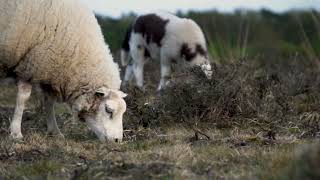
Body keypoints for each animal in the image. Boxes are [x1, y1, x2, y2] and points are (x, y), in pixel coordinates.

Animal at [0, 0, 127, 143]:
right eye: (108, 110)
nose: (117, 140)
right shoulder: (28, 64)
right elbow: (23, 98)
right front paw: (16, 133)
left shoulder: (47, 70)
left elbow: (49, 102)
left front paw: (55, 132)